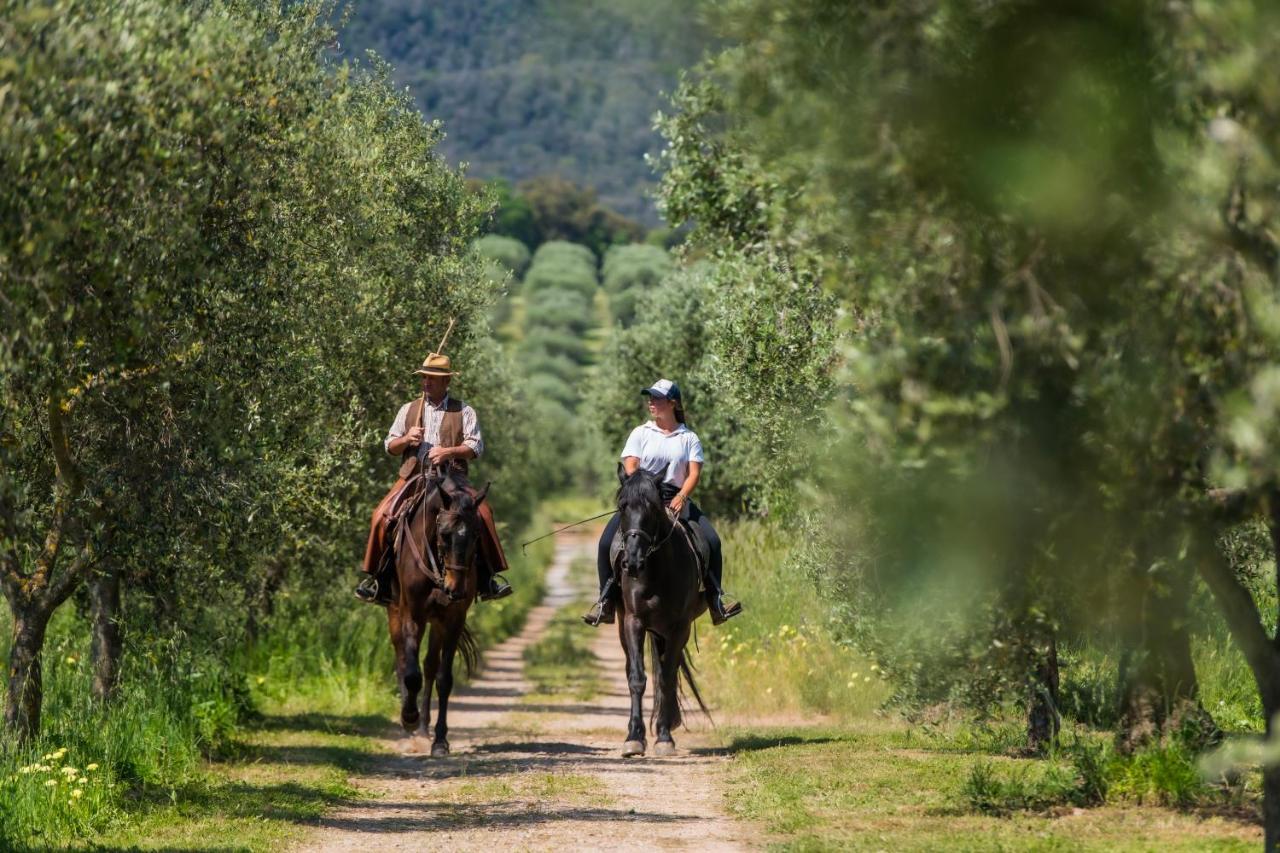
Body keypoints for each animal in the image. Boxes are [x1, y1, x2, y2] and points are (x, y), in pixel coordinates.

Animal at [384, 466, 483, 753]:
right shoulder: (412, 616)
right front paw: (408, 717)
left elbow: (443, 678)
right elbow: (411, 674)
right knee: (402, 661)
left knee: (429, 666)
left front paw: (440, 740)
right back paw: (410, 725)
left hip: (436, 622)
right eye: (444, 534)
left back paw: (424, 728)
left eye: (476, 535)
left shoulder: (452, 620)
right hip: (395, 612)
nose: (455, 590)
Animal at [611, 468, 711, 753]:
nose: (632, 562)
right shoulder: (633, 621)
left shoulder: (679, 628)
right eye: (622, 506)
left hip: (670, 631)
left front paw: (665, 736)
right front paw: (634, 738)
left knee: (671, 669)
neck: (657, 570)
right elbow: (637, 678)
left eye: (653, 508)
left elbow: (666, 678)